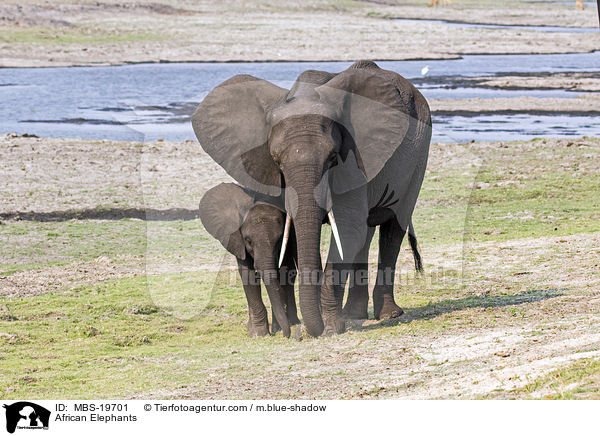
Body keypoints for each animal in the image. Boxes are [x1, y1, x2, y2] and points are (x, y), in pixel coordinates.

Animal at [198, 181, 298, 338]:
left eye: (278, 241)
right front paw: (258, 334)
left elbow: (281, 273)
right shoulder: (237, 239)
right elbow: (248, 275)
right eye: (248, 241)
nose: (286, 336)